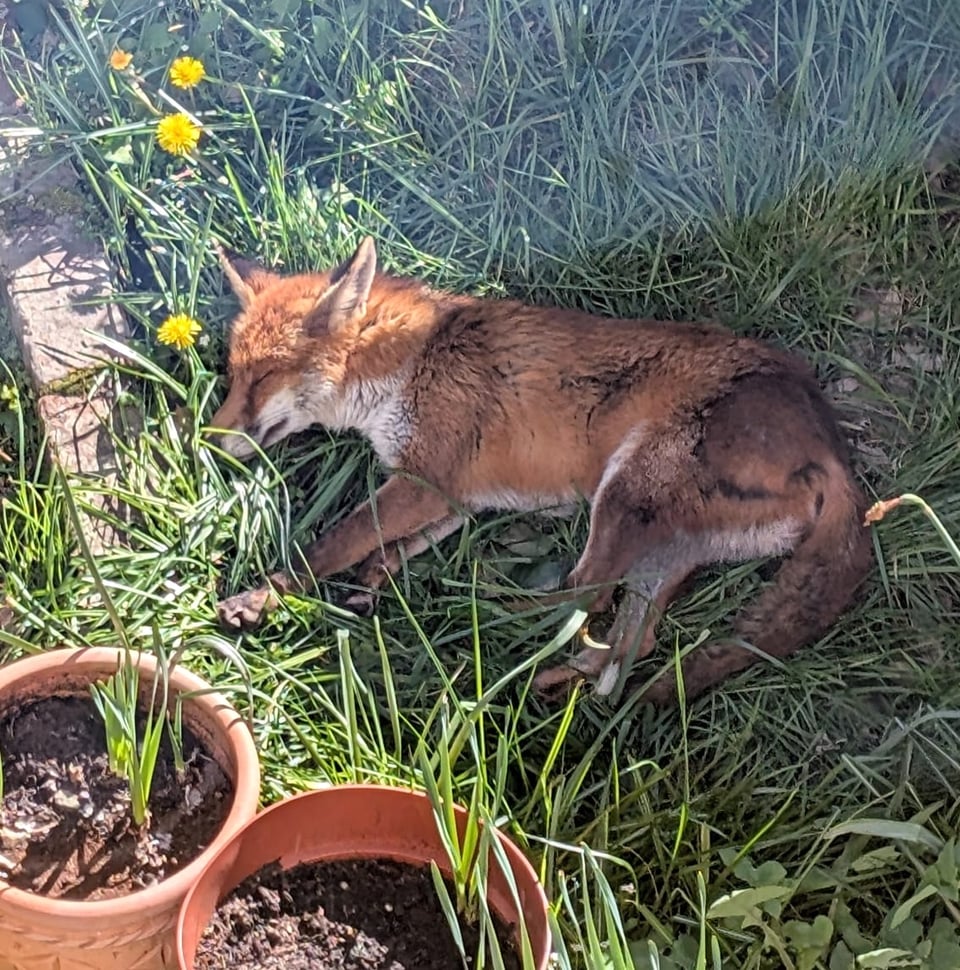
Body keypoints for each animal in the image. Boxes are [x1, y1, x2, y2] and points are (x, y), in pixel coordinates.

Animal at [209, 235, 874, 705]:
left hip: (624, 491)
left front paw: (261, 596)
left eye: (263, 377)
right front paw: (377, 578)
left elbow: (330, 545)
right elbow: (391, 545)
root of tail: (834, 452)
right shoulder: (456, 495)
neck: (409, 363)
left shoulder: (426, 481)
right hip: (665, 546)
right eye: (233, 373)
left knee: (585, 593)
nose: (209, 442)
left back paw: (484, 617)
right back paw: (565, 685)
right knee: (629, 637)